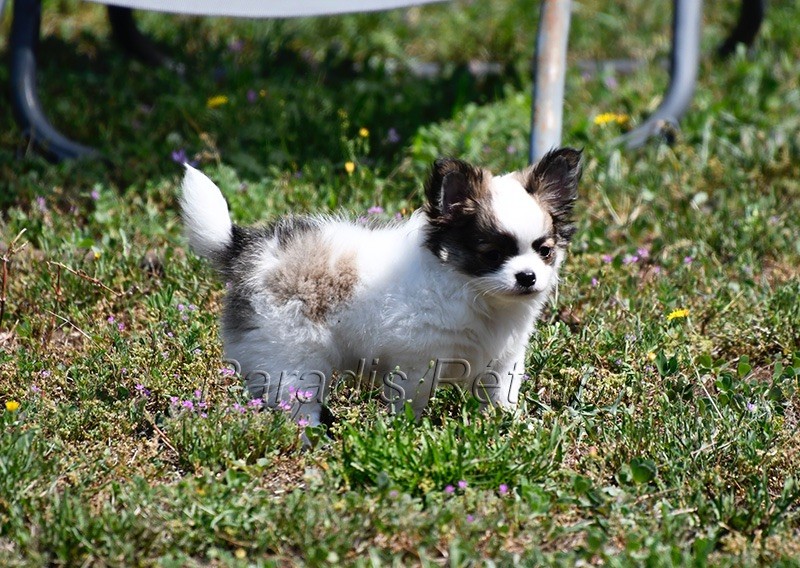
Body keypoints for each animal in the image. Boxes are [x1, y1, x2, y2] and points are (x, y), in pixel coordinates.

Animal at [181, 149, 580, 428]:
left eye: (544, 251)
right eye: (493, 254)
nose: (527, 277)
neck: (474, 293)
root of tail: (247, 249)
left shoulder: (505, 358)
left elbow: (501, 395)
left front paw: (507, 427)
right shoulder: (417, 363)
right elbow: (411, 402)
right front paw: (408, 432)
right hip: (292, 358)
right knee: (296, 401)